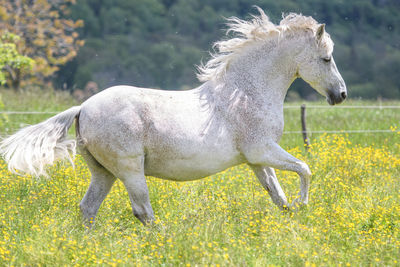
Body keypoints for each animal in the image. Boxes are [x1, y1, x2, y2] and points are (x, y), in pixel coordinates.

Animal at [0, 8, 346, 226]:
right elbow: (305, 169)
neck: (246, 92)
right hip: (130, 170)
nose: (341, 95)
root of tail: (83, 107)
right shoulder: (263, 150)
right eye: (326, 58)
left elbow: (278, 195)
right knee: (142, 211)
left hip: (103, 172)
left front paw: (292, 220)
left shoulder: (257, 160)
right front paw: (304, 205)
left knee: (88, 208)